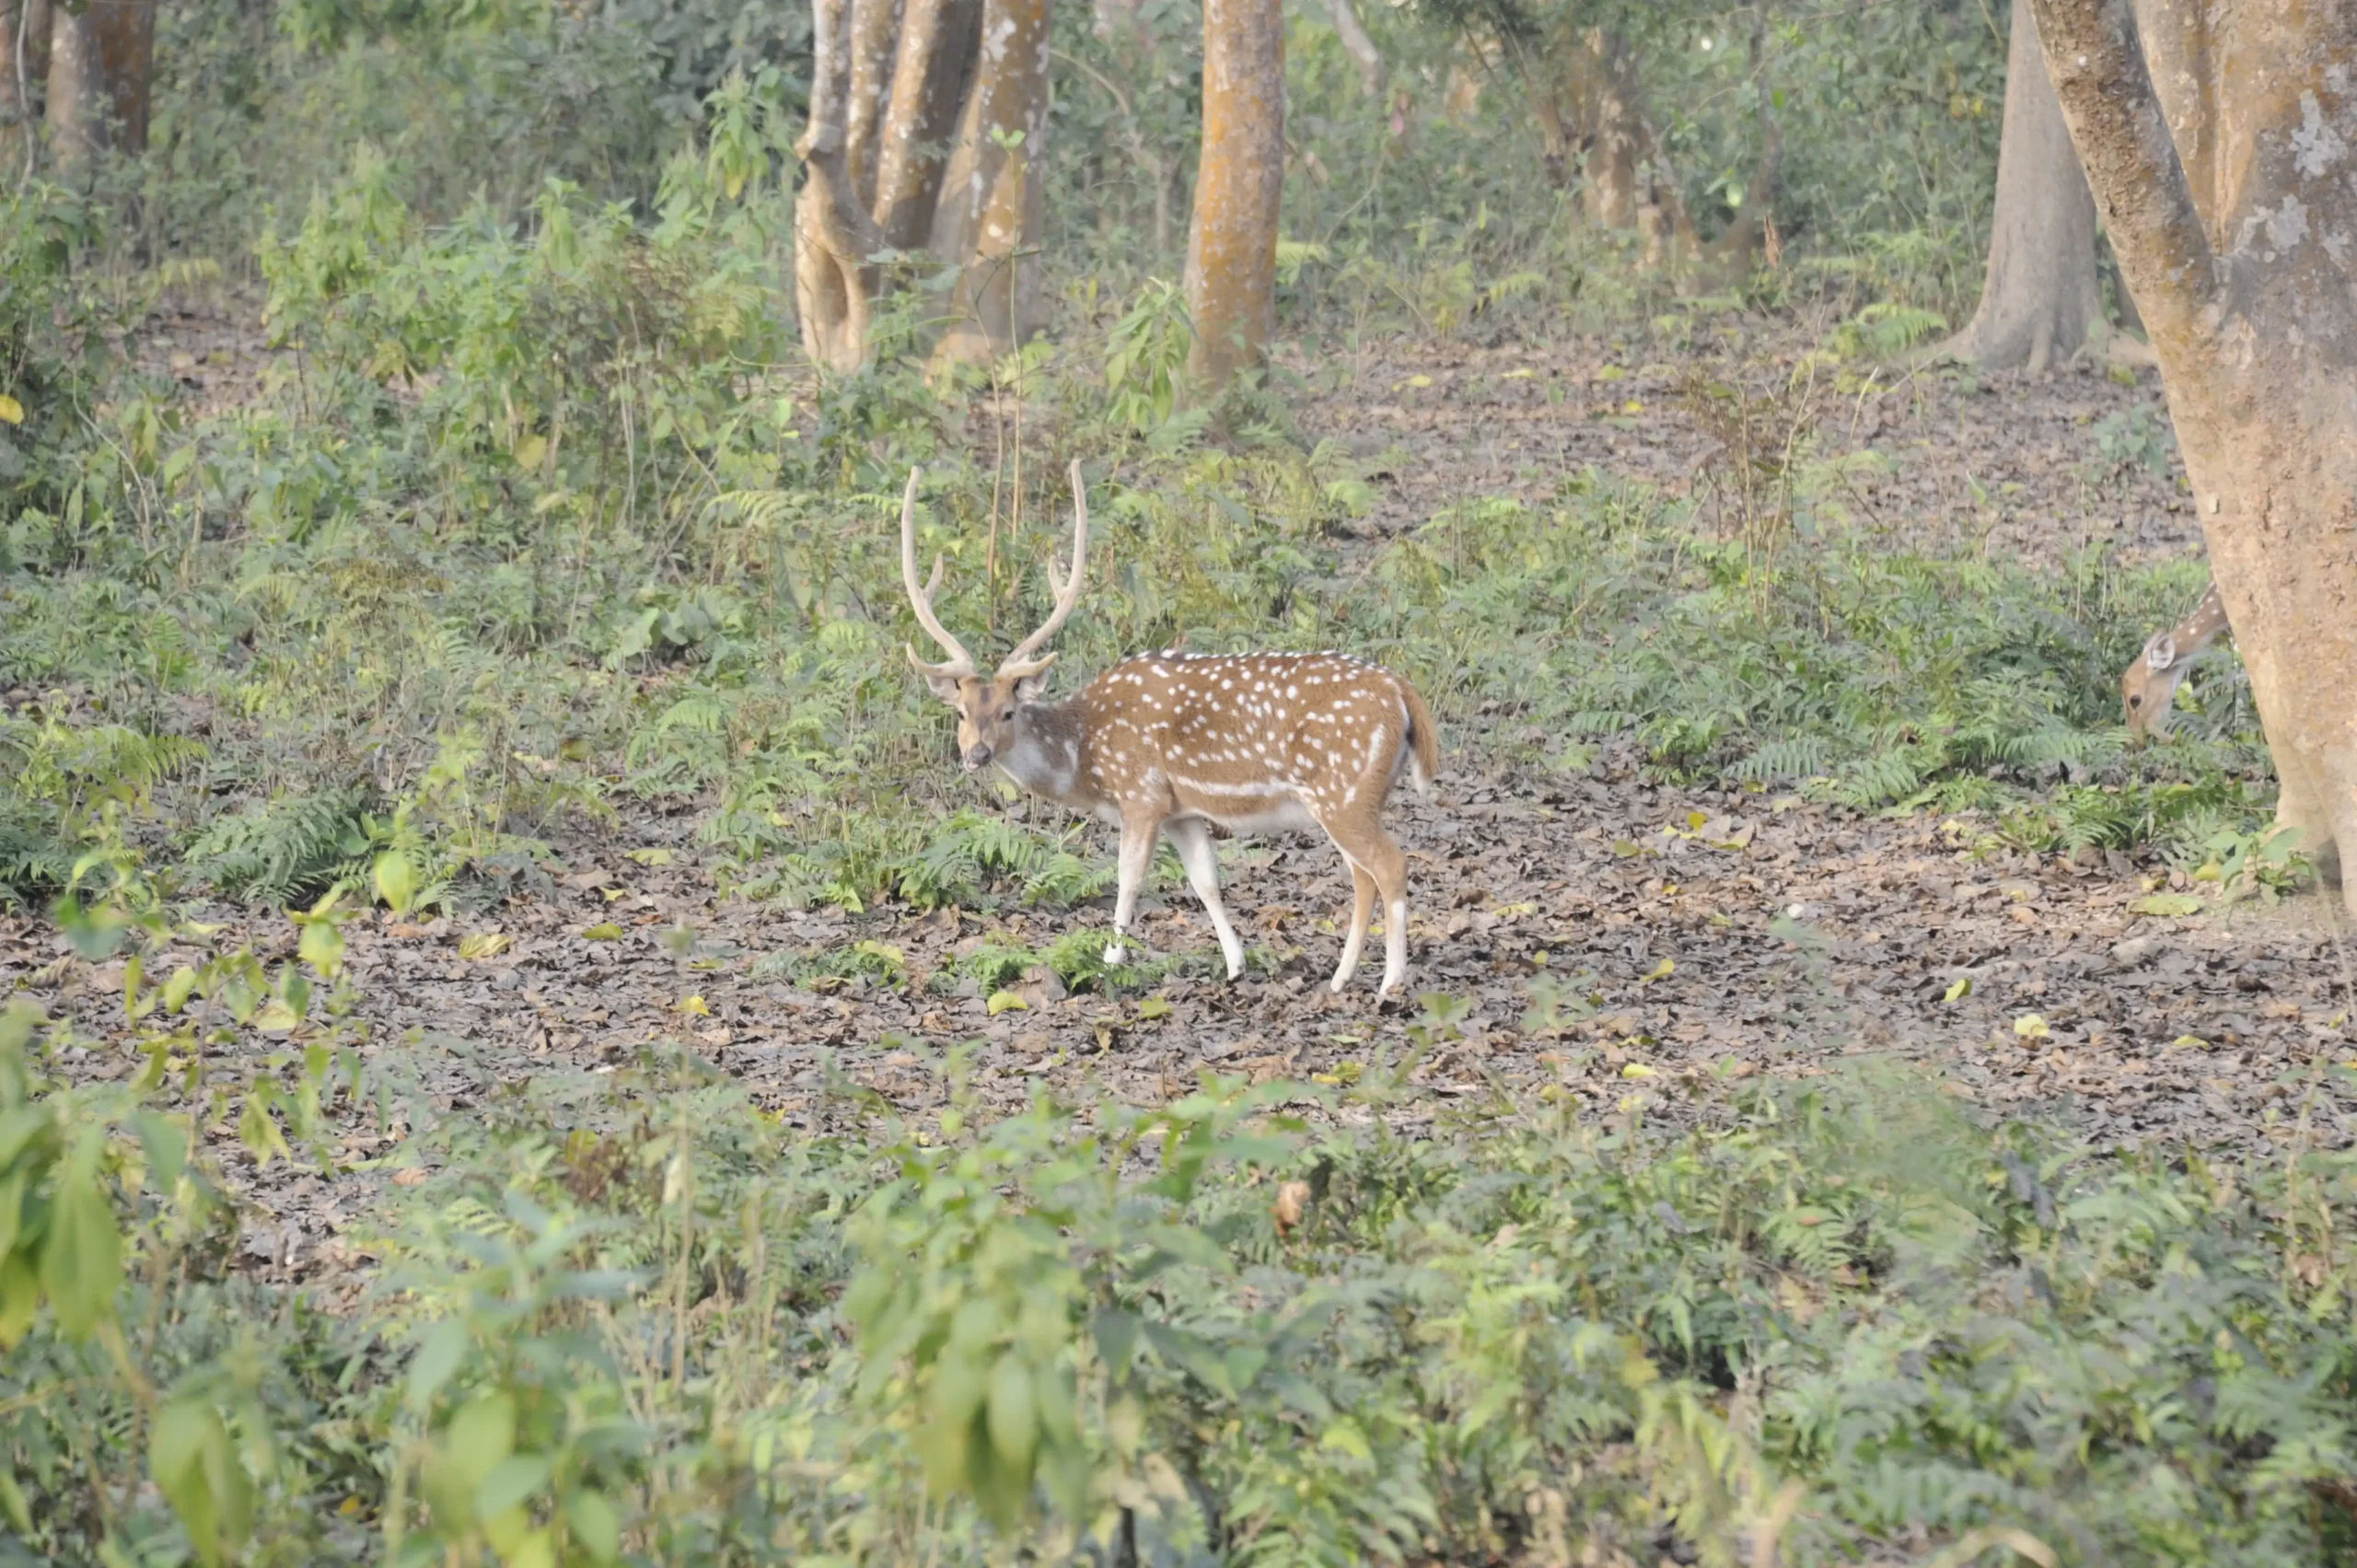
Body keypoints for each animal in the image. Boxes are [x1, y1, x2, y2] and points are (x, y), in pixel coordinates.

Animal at [897, 464, 1441, 996]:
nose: (977, 755)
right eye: (961, 712)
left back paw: (1391, 981)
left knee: (1391, 865)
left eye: (1009, 711)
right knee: (1363, 876)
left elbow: (1128, 878)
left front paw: (1109, 962)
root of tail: (1403, 691)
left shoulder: (1142, 794)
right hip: (1347, 798)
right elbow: (1205, 881)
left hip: (1344, 791)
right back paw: (1341, 977)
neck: (1085, 757)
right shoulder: (1183, 810)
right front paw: (1235, 965)